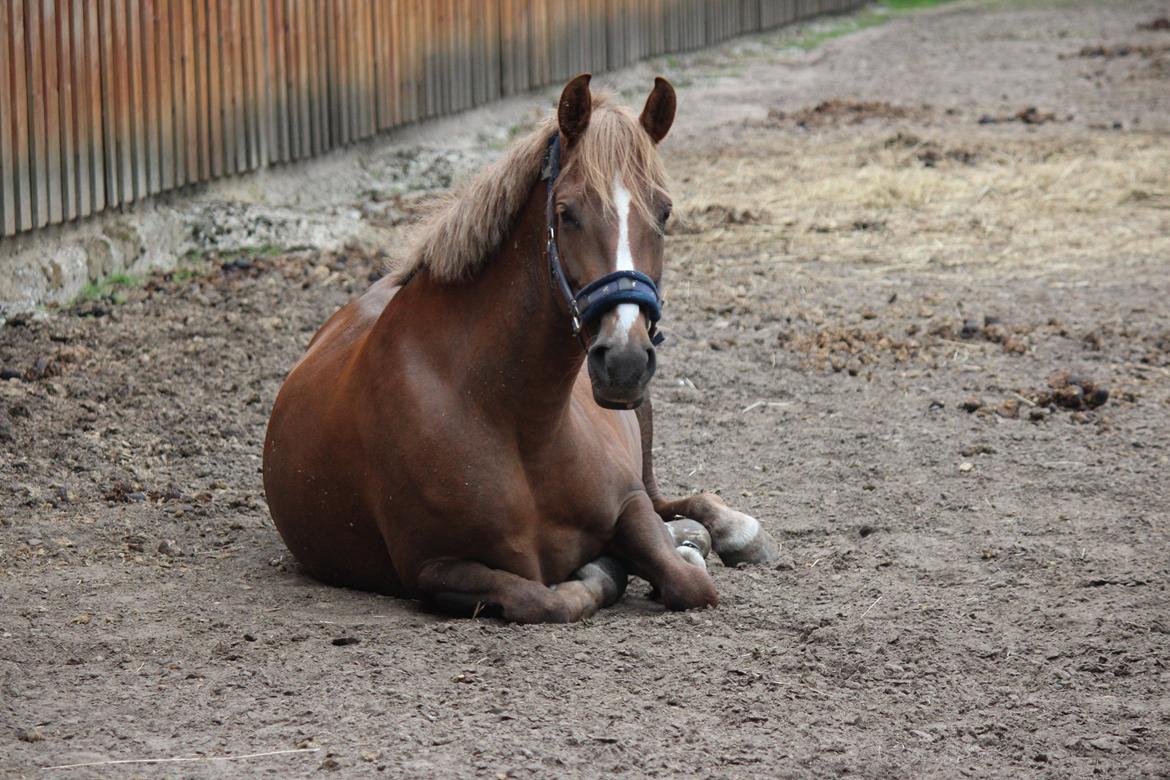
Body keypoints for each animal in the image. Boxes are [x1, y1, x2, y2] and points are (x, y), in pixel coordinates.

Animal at [264, 76, 776, 626]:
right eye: (566, 213)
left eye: (664, 211)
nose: (624, 361)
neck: (521, 425)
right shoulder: (432, 568)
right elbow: (542, 598)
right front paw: (604, 570)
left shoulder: (628, 503)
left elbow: (689, 583)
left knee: (667, 500)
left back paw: (729, 530)